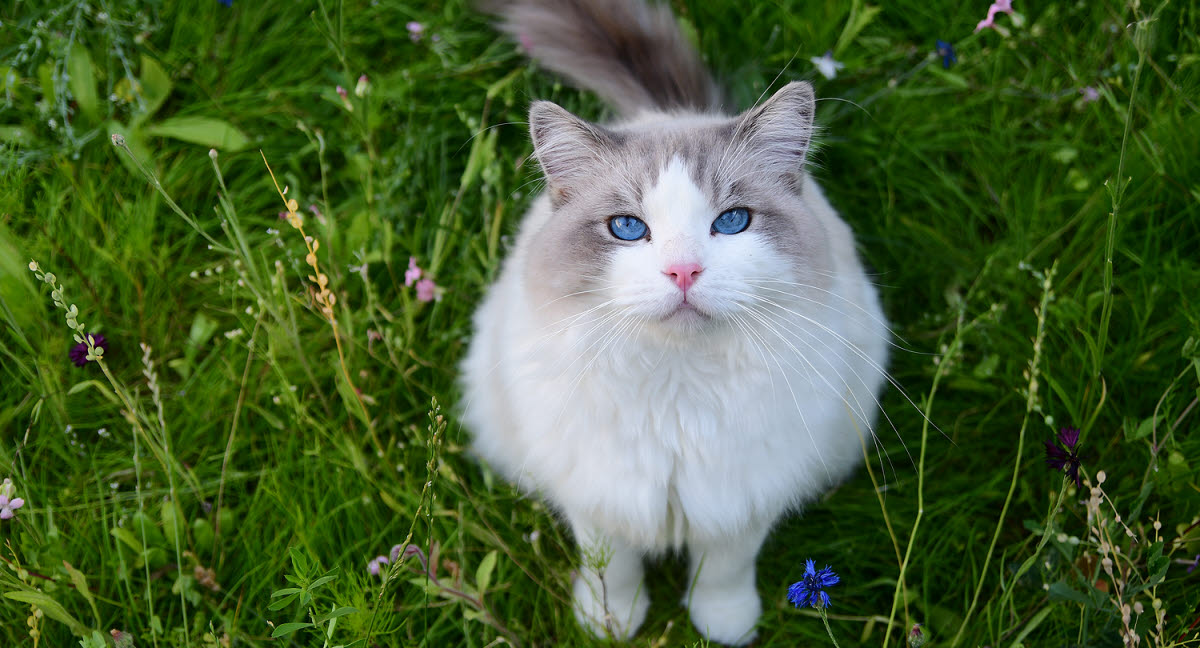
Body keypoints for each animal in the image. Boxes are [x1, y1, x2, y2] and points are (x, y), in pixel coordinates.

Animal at [458, 0, 892, 643]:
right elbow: (611, 570)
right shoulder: (599, 495)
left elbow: (723, 573)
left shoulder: (740, 498)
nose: (683, 271)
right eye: (628, 228)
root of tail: (670, 110)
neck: (676, 384)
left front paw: (725, 627)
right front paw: (607, 625)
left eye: (732, 221)